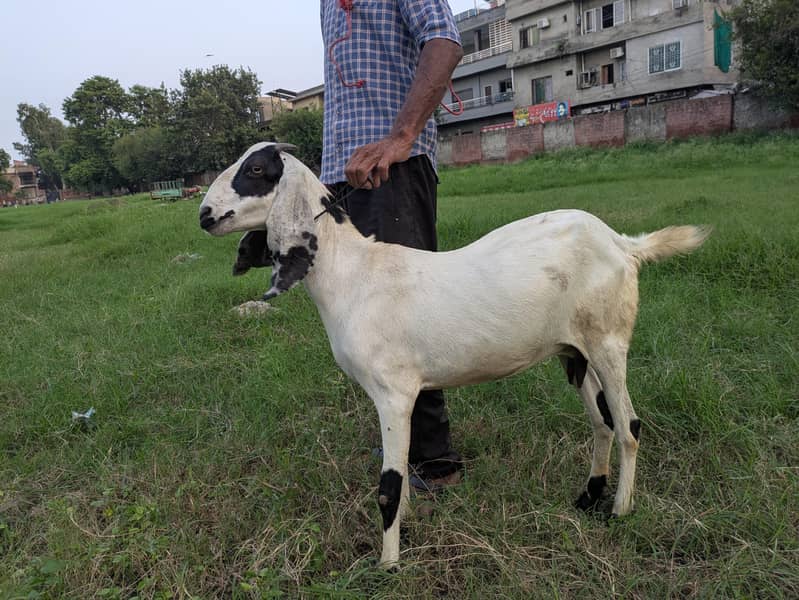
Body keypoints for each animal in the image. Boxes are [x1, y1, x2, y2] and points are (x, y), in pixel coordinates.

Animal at [199, 142, 709, 567]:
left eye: (256, 169)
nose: (204, 214)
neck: (356, 274)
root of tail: (624, 243)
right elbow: (403, 474)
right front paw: (406, 531)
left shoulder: (394, 394)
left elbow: (389, 485)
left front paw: (387, 566)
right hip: (573, 352)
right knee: (601, 422)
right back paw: (588, 497)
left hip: (608, 342)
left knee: (628, 425)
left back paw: (620, 510)